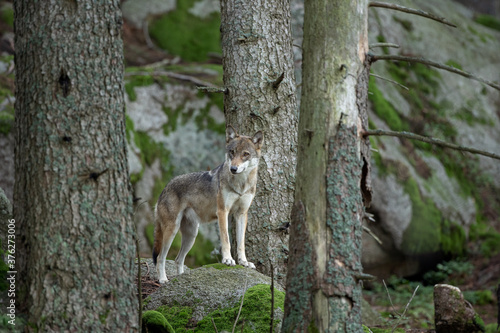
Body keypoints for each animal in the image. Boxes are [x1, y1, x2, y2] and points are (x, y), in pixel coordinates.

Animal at [151, 124, 264, 282]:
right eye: (232, 152)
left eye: (245, 154)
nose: (233, 169)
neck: (241, 184)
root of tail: (164, 189)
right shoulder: (223, 211)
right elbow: (226, 240)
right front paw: (228, 260)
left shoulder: (241, 214)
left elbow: (241, 243)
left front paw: (244, 262)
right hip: (172, 231)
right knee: (160, 258)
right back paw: (163, 280)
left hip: (192, 235)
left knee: (178, 260)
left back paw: (181, 278)